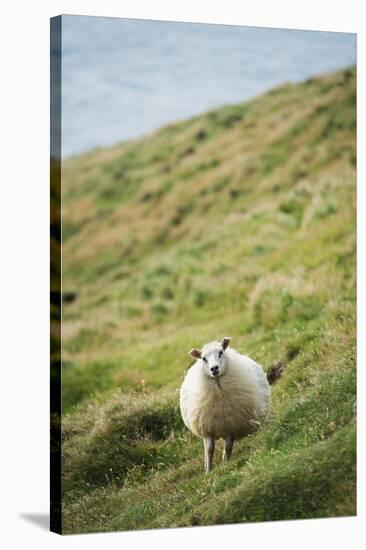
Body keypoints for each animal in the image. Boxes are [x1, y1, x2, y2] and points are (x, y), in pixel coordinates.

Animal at [180, 338, 272, 472]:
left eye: (221, 352)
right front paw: (208, 470)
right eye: (203, 358)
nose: (214, 368)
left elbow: (228, 446)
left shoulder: (230, 426)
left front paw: (227, 463)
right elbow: (209, 449)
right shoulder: (207, 427)